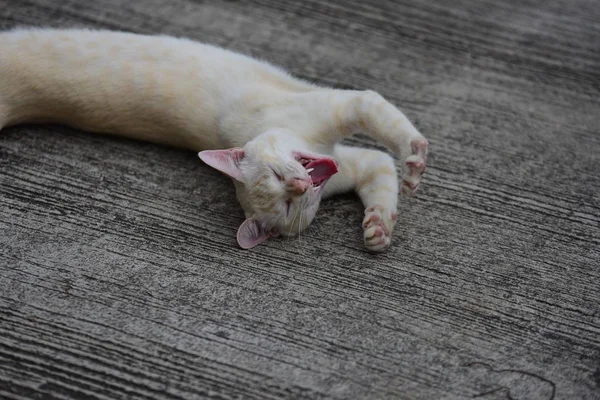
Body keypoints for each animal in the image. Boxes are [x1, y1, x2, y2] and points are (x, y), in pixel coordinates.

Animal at [0, 28, 426, 252]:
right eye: (287, 204)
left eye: (277, 174)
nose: (301, 183)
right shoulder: (345, 154)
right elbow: (383, 158)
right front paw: (379, 228)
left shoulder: (341, 124)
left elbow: (386, 135)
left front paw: (410, 170)